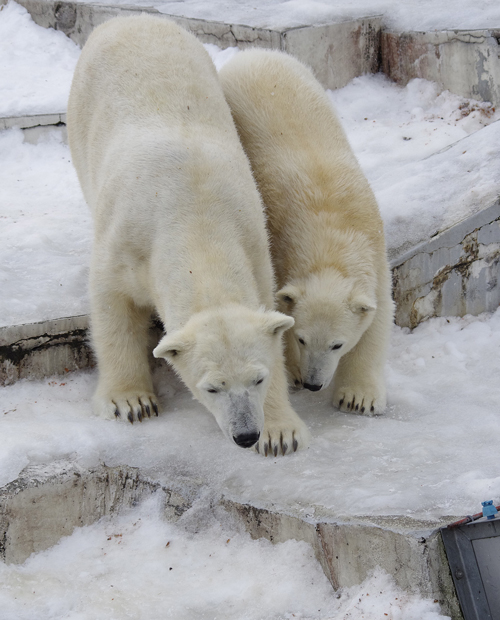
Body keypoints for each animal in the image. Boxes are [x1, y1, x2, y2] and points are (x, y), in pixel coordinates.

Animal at [66, 15, 308, 456]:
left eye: (258, 378)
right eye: (211, 387)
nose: (246, 435)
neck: (195, 218)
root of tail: (129, 18)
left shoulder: (254, 243)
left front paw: (280, 432)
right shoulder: (128, 240)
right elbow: (113, 305)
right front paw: (131, 401)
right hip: (81, 114)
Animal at [219, 50, 394, 414]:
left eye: (337, 344)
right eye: (302, 338)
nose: (314, 383)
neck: (329, 234)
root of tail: (250, 54)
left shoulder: (374, 251)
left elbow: (379, 316)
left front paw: (359, 398)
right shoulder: (278, 250)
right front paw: (295, 372)